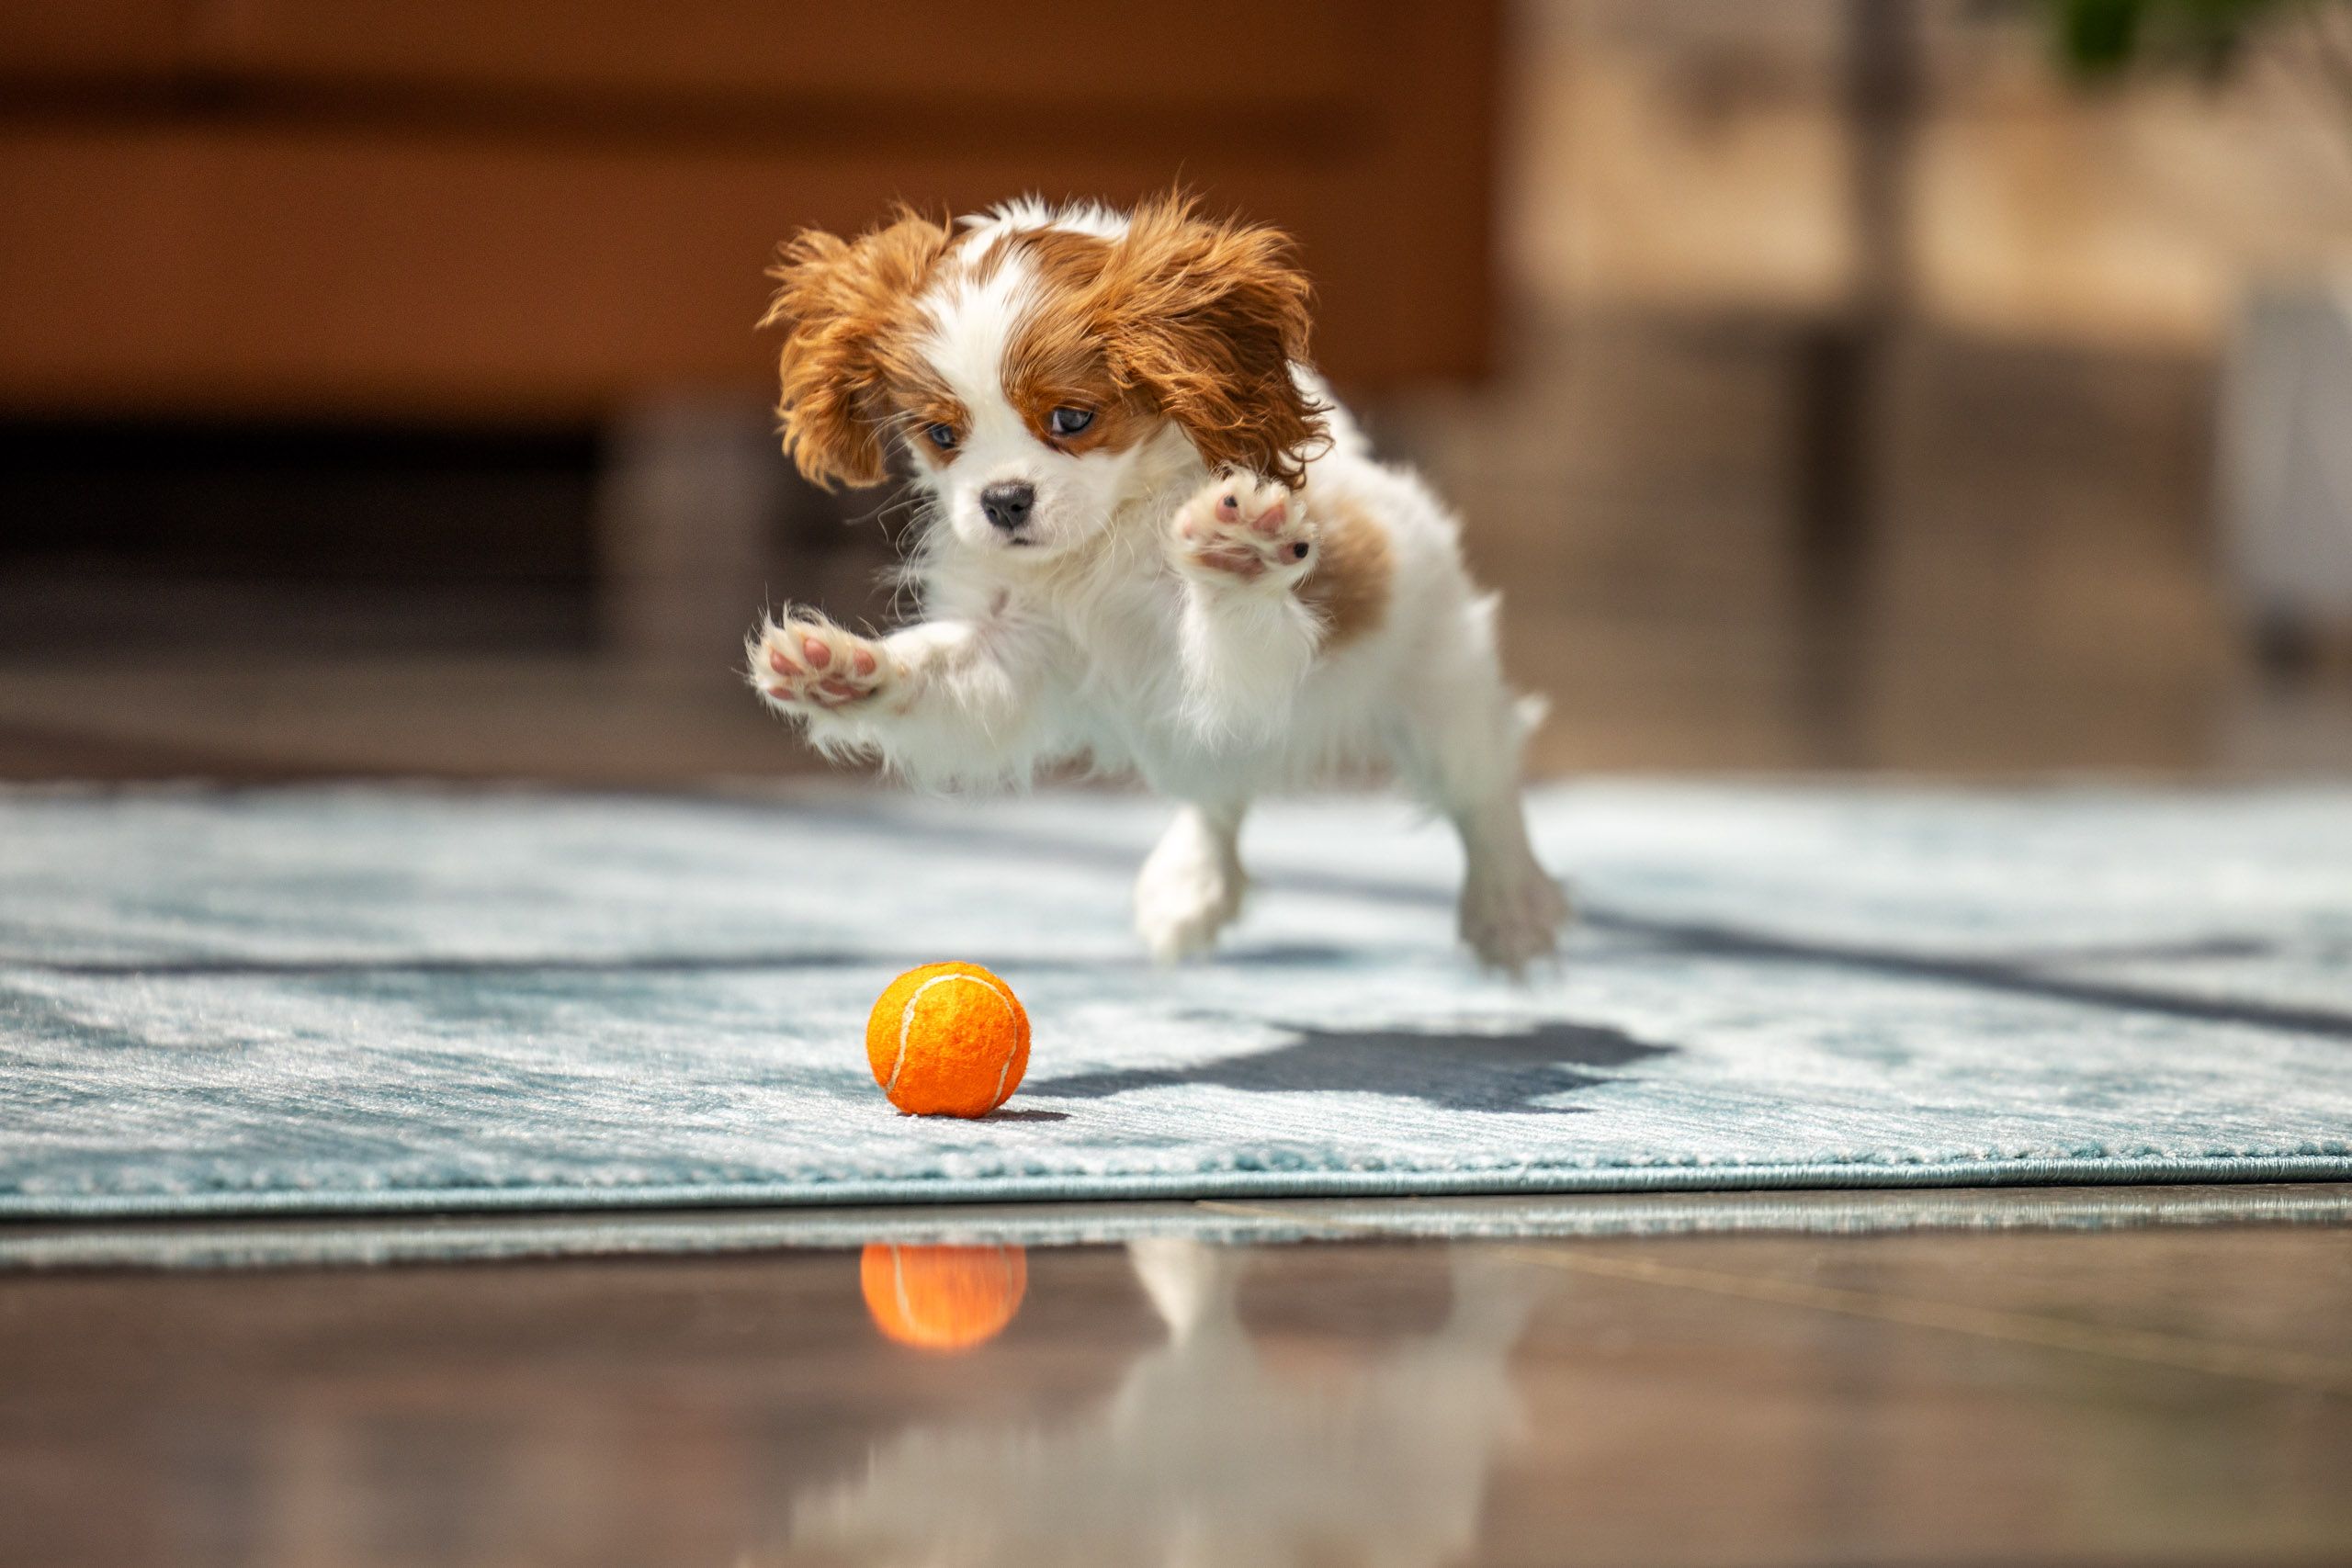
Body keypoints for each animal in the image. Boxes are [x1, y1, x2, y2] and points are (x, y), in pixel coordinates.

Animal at [748, 196, 1561, 968]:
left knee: (1482, 788)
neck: (1099, 542)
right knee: (1218, 793)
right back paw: (1193, 880)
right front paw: (841, 672)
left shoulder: (1233, 662)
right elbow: (939, 673)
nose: (1003, 500)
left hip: (1438, 682)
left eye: (1071, 419)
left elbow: (1235, 628)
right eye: (943, 435)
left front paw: (1237, 554)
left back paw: (1508, 902)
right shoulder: (1009, 649)